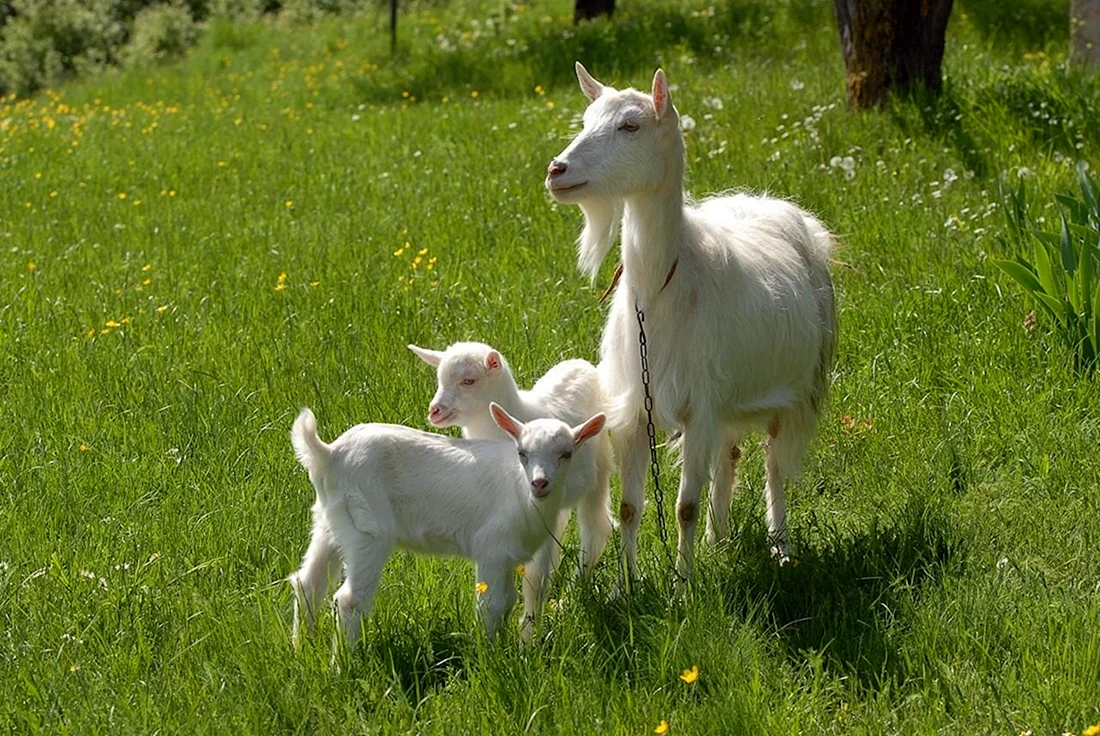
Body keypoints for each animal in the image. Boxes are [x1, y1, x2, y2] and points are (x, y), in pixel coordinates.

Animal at [287, 404, 606, 646]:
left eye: (566, 453)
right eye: (522, 453)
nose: (540, 483)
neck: (521, 492)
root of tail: (327, 454)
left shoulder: (507, 556)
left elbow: (507, 601)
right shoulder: (491, 548)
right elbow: (490, 604)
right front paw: (491, 656)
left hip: (330, 519)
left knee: (308, 583)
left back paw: (302, 648)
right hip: (367, 527)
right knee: (350, 599)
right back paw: (343, 664)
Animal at [408, 341, 614, 638]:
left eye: (469, 381)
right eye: (439, 379)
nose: (434, 410)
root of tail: (580, 363)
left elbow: (533, 577)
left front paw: (528, 633)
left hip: (600, 466)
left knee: (596, 527)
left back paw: (575, 592)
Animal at [545, 63, 836, 579]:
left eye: (631, 126)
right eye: (586, 120)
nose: (556, 170)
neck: (660, 292)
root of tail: (771, 204)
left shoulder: (698, 406)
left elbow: (684, 507)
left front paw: (685, 584)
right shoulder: (636, 409)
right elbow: (629, 509)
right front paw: (628, 585)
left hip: (791, 390)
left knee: (773, 464)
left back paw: (779, 544)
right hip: (727, 397)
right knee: (731, 453)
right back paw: (720, 538)